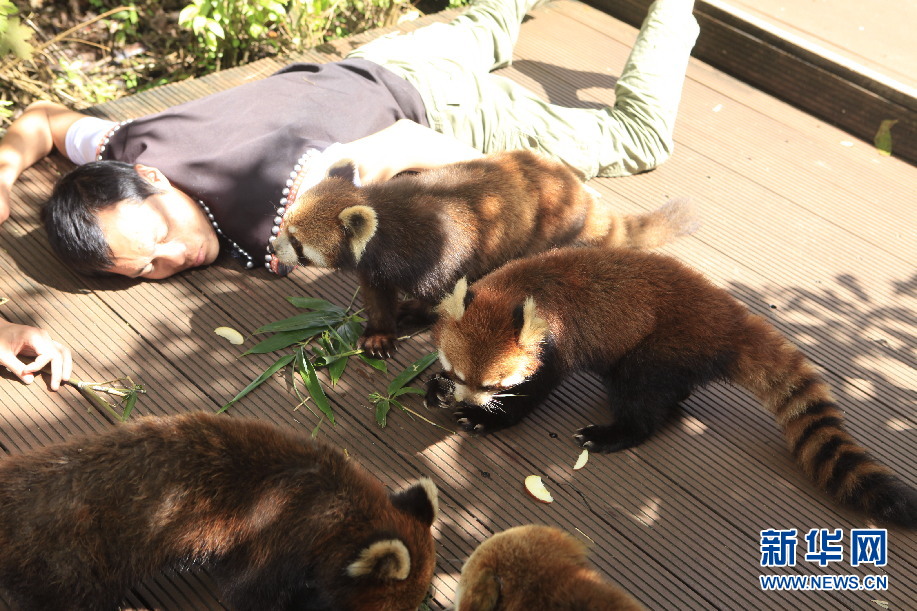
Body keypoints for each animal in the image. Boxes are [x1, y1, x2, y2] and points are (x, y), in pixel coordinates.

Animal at [270, 149, 696, 358]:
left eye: (295, 239)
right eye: (284, 223)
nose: (272, 248)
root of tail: (578, 192)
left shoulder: (440, 254)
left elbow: (443, 294)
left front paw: (417, 313)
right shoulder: (376, 270)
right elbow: (377, 299)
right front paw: (379, 334)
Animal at [428, 246, 916, 528]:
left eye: (494, 382)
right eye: (457, 372)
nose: (467, 396)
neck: (519, 290)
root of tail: (729, 318)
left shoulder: (555, 342)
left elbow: (534, 392)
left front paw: (486, 417)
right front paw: (436, 390)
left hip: (661, 346)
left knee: (640, 397)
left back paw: (614, 433)